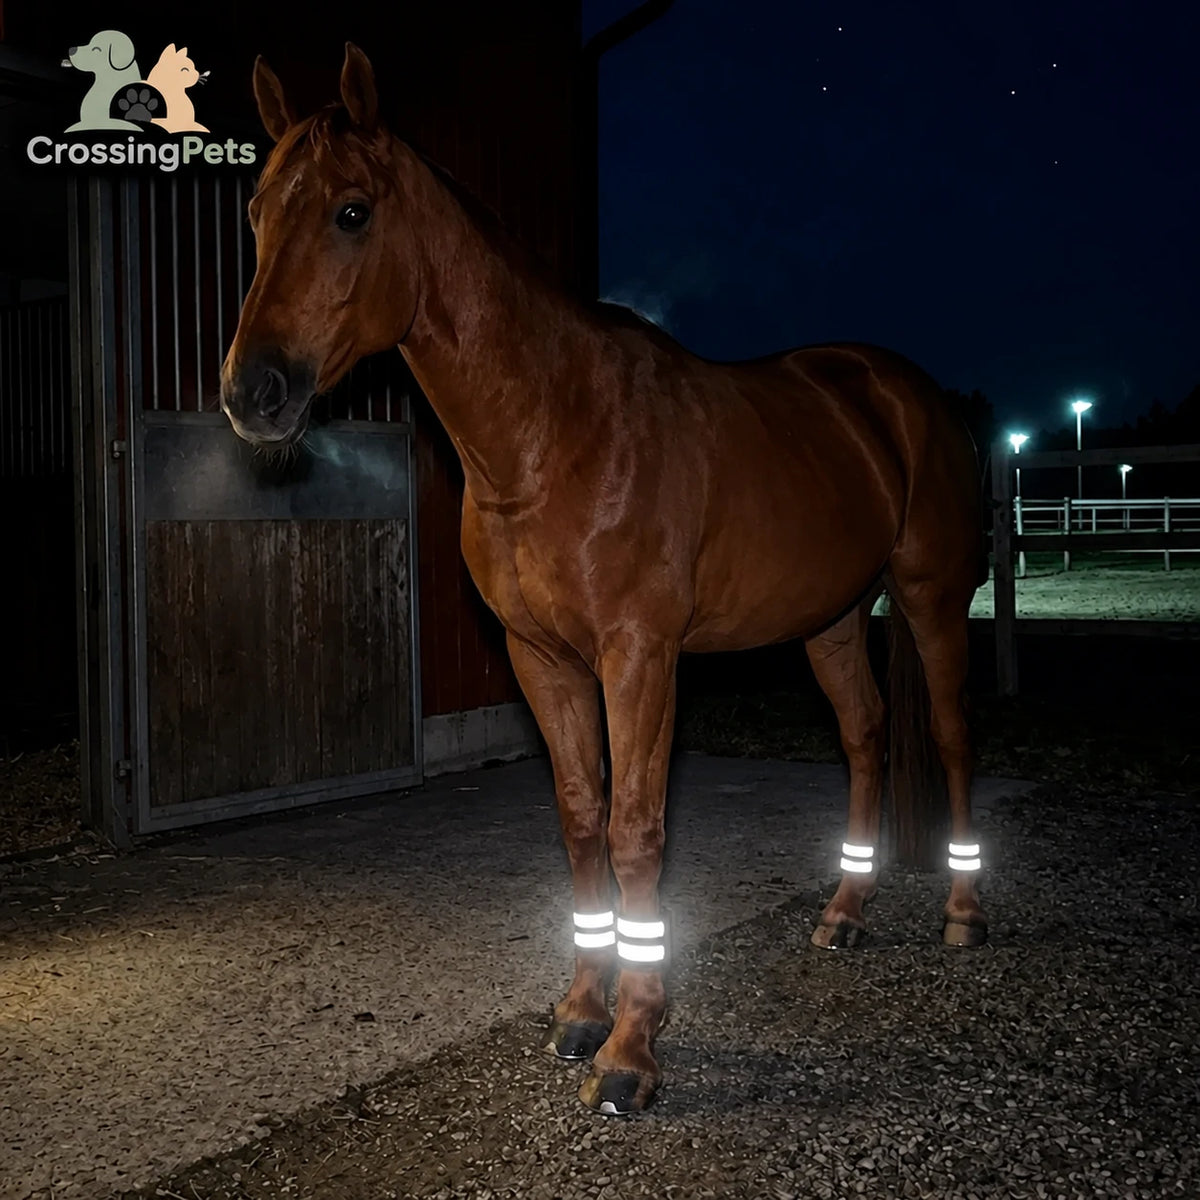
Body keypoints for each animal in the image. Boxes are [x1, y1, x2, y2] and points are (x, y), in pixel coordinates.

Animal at [220, 43, 989, 1116]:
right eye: (256, 211)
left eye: (352, 211)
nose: (253, 392)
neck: (553, 432)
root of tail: (905, 391)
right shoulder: (541, 658)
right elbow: (583, 821)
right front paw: (583, 1013)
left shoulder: (640, 658)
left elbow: (635, 834)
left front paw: (633, 1049)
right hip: (832, 620)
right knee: (867, 740)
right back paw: (845, 911)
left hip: (930, 602)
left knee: (952, 738)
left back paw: (963, 912)